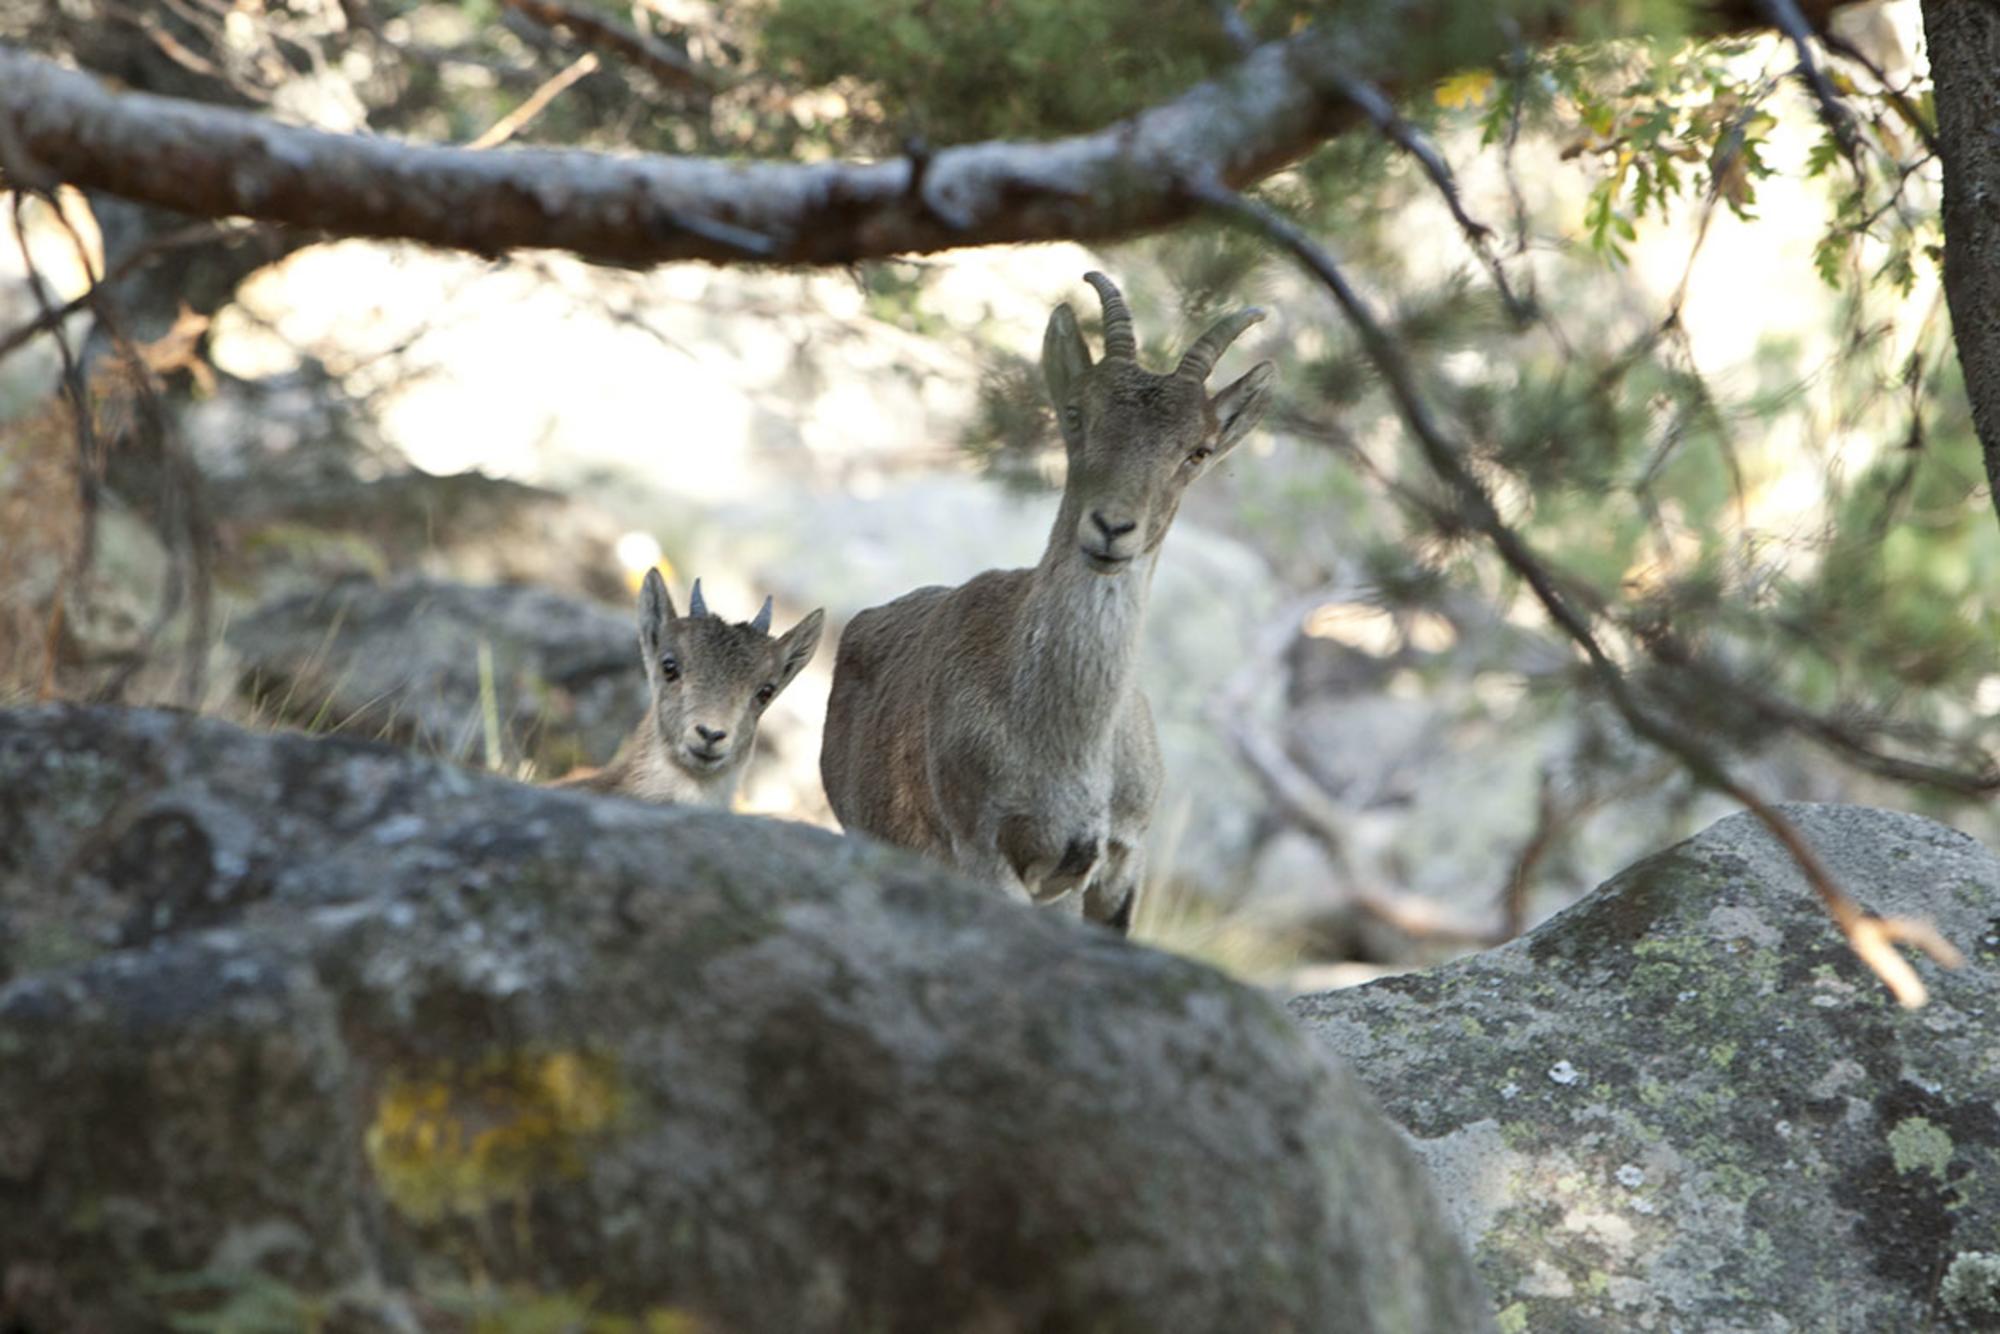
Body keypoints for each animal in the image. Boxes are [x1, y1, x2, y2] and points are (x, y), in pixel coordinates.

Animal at [820, 272, 1274, 933]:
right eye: (1077, 414)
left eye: (1199, 450)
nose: (1111, 528)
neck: (1066, 745)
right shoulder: (985, 849)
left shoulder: (1113, 867)